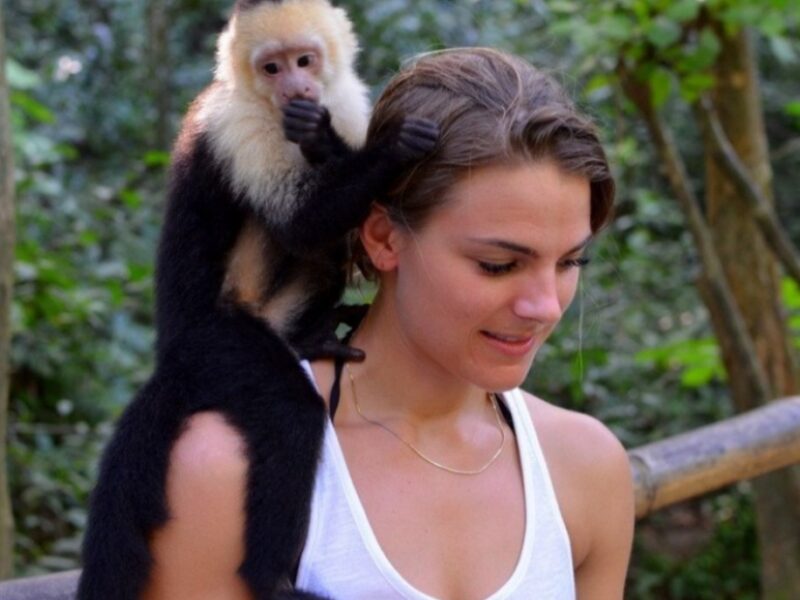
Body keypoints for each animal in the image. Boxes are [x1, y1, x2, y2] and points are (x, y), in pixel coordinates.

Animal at [77, 1, 438, 598]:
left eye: (304, 60)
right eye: (272, 68)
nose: (295, 87)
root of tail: (170, 355)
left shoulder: (348, 100)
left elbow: (332, 227)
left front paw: (321, 138)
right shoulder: (239, 128)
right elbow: (300, 223)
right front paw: (392, 149)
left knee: (324, 259)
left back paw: (308, 337)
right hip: (217, 346)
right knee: (289, 414)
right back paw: (268, 578)